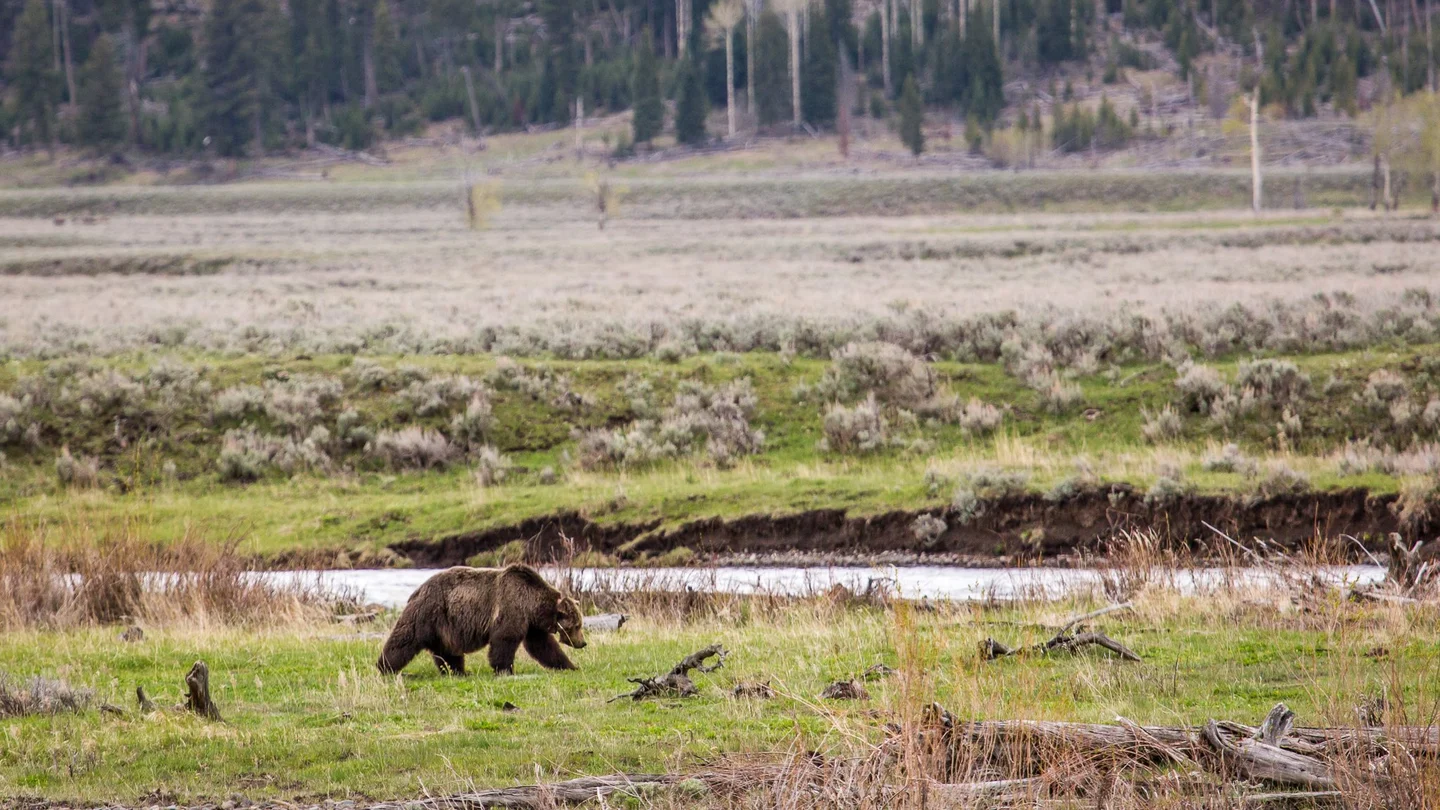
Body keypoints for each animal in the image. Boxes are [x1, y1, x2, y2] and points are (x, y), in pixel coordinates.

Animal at [376, 564, 586, 676]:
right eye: (577, 625)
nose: (583, 643)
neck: (532, 604)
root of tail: (418, 589)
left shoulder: (532, 625)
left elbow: (544, 647)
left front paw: (570, 665)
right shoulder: (511, 609)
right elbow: (505, 640)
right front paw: (505, 669)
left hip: (445, 627)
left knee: (447, 651)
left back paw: (458, 671)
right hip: (429, 613)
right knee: (405, 639)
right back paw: (385, 667)